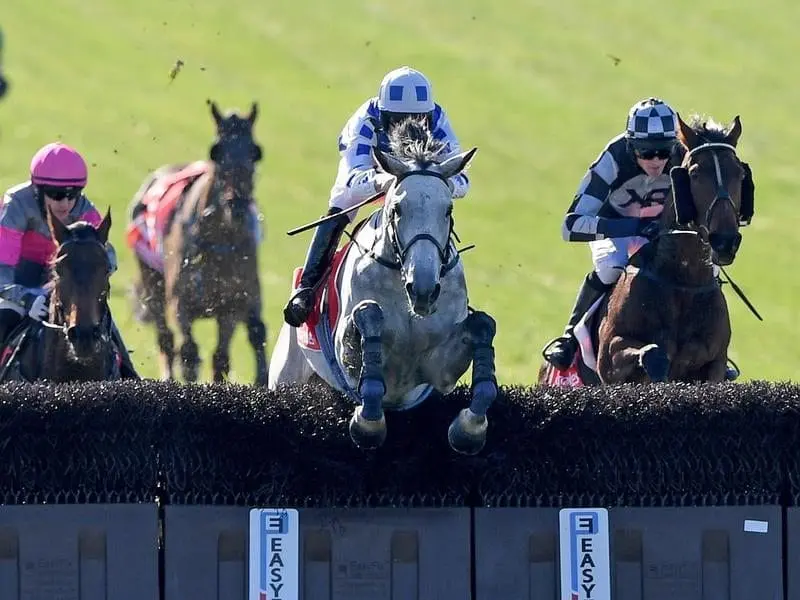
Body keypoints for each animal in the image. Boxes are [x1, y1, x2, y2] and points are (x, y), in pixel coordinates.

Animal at [128, 100, 268, 382]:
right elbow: (189, 352)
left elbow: (221, 357)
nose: (237, 205)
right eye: (215, 151)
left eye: (256, 152)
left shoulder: (231, 304)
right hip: (152, 280)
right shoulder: (182, 303)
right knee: (167, 338)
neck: (220, 241)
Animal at [268, 117, 496, 454]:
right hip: (287, 377)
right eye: (398, 209)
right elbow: (369, 320)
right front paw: (368, 425)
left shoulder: (437, 371)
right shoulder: (347, 355)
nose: (424, 289)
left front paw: (470, 429)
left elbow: (483, 326)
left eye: (448, 210)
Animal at [540, 112, 752, 384]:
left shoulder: (713, 363)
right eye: (694, 174)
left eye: (739, 173)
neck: (683, 282)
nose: (724, 241)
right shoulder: (610, 359)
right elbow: (652, 353)